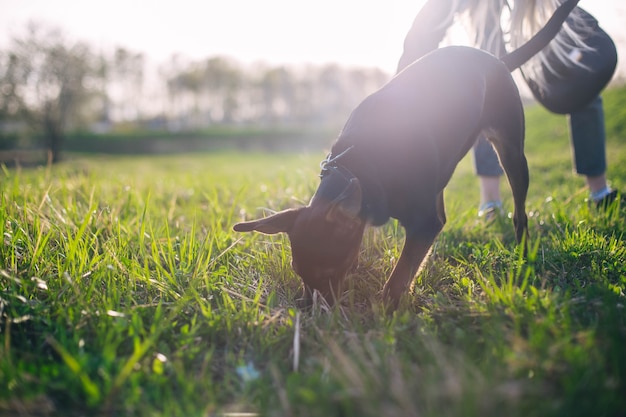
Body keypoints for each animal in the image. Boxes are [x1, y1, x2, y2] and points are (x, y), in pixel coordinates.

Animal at [235, 0, 580, 306]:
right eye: (298, 271)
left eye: (330, 270)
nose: (313, 309)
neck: (359, 164)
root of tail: (498, 60)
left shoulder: (424, 223)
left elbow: (400, 276)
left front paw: (386, 309)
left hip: (510, 151)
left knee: (519, 212)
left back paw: (522, 253)